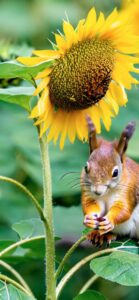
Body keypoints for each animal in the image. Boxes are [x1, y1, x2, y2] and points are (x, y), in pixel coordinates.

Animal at [81, 115, 138, 246]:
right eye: (86, 167)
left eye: (115, 172)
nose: (97, 191)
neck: (106, 193)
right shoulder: (89, 191)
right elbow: (91, 204)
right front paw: (89, 218)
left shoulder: (129, 190)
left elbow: (123, 209)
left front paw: (109, 220)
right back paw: (99, 235)